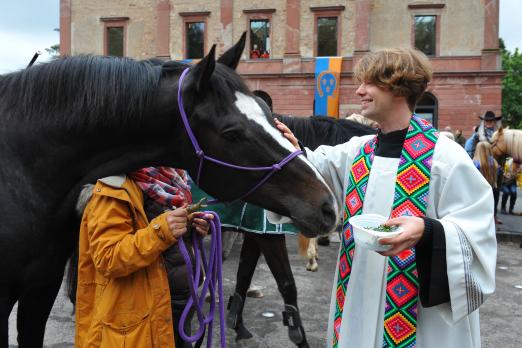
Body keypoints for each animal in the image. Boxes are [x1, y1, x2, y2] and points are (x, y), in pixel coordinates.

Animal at [0, 33, 338, 348]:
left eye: (270, 117)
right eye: (231, 133)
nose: (327, 206)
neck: (24, 170)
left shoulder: (41, 288)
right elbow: (282, 282)